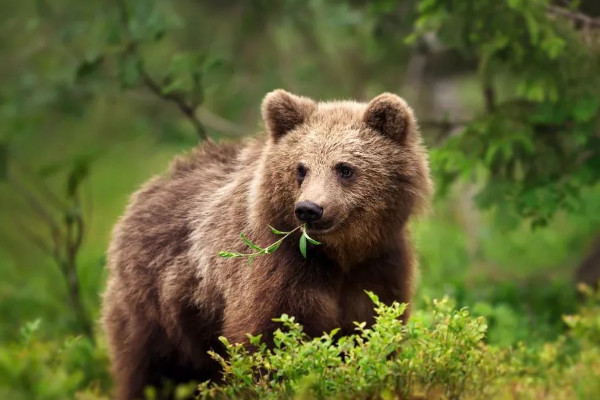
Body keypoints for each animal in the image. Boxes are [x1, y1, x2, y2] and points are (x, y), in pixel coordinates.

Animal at [102, 89, 432, 398]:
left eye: (345, 168)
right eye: (301, 168)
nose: (309, 209)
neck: (339, 254)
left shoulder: (379, 267)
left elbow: (373, 334)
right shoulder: (278, 269)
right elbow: (268, 340)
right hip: (155, 306)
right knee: (149, 371)